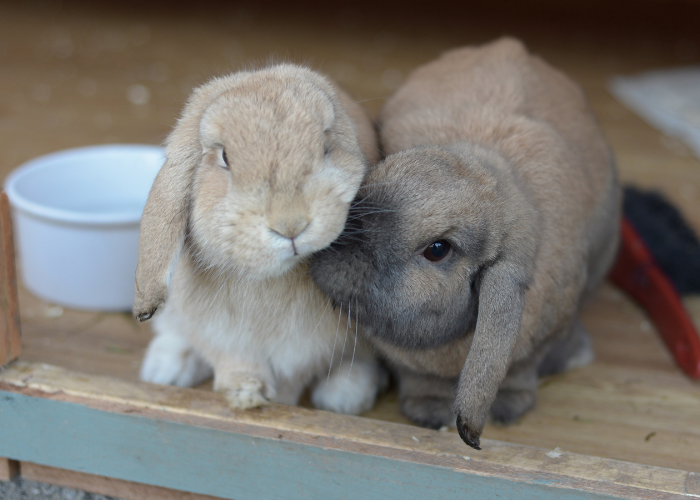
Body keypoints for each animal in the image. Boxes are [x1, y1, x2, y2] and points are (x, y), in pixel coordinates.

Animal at [134, 62, 386, 414]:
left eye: (325, 146)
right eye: (225, 158)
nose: (290, 225)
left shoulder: (309, 349)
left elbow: (294, 378)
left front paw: (278, 401)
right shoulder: (220, 337)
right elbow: (236, 364)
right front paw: (245, 395)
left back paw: (344, 396)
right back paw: (165, 369)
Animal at [308, 37, 620, 448]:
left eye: (438, 249)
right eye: (379, 173)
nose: (333, 243)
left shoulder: (539, 340)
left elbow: (519, 371)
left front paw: (508, 408)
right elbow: (419, 380)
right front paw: (427, 412)